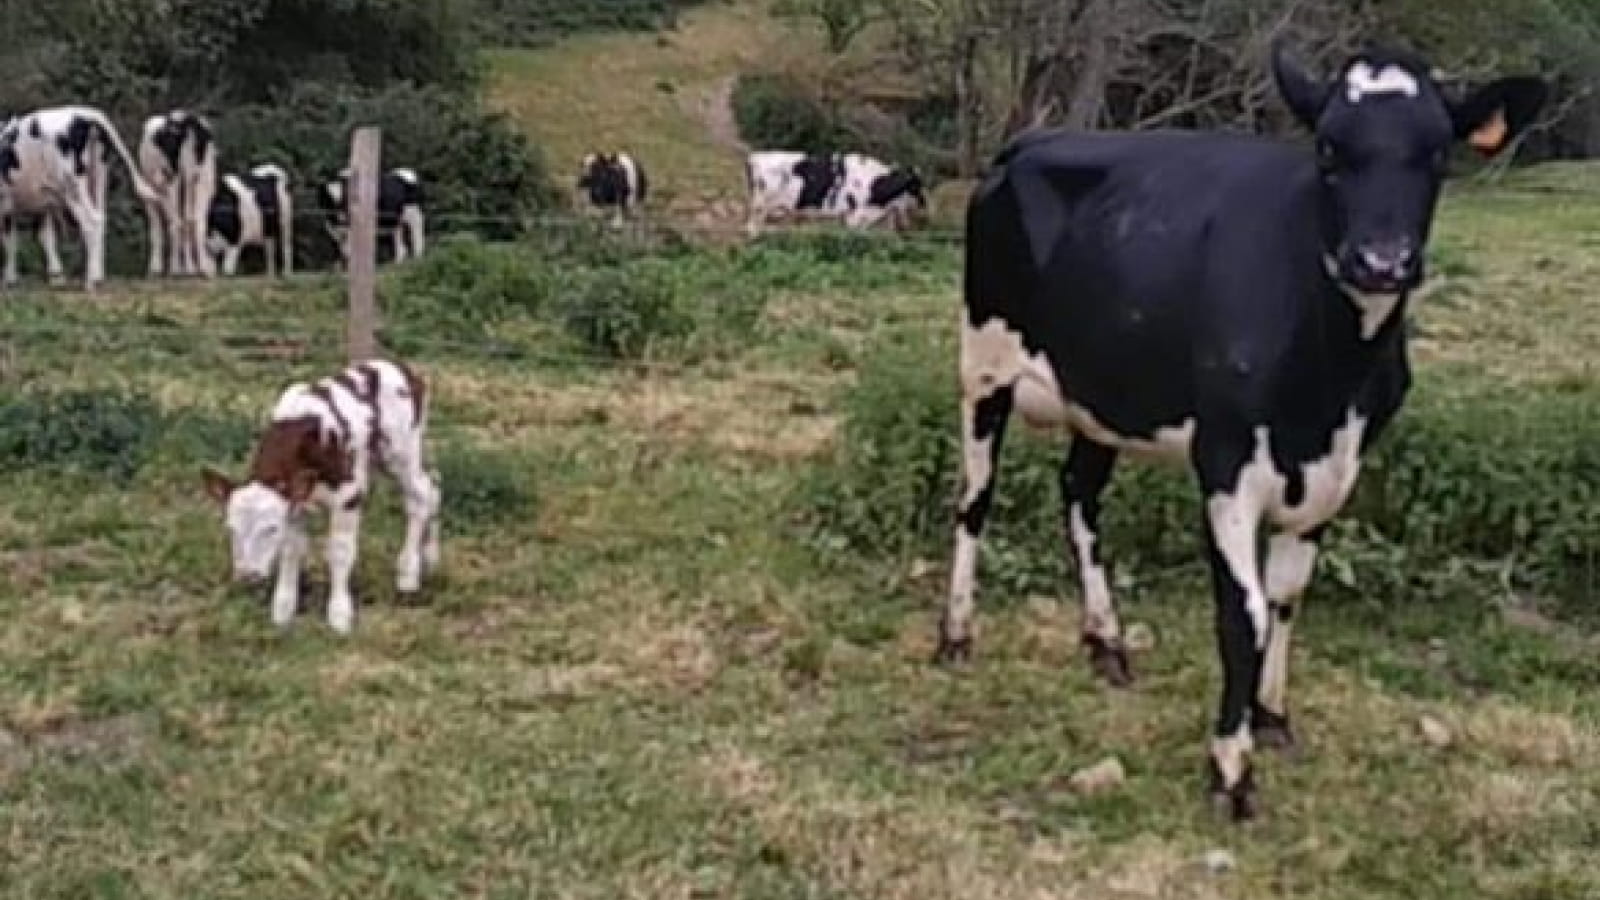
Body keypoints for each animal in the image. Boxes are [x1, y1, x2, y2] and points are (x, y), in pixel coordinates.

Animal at [0, 105, 164, 288]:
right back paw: (98, 276)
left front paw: (10, 280)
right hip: (98, 178)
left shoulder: (8, 204)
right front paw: (56, 277)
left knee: (91, 221)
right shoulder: (43, 203)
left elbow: (10, 242)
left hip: (72, 185)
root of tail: (84, 114)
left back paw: (91, 280)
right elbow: (44, 238)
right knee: (101, 219)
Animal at [138, 110, 217, 277]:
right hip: (201, 179)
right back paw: (200, 268)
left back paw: (177, 268)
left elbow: (161, 227)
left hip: (175, 181)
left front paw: (161, 267)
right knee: (194, 220)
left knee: (177, 222)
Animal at [204, 355, 451, 630]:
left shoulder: (349, 494)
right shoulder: (295, 503)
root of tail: (402, 368)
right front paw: (283, 612)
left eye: (271, 528)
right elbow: (292, 551)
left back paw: (408, 576)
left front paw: (339, 616)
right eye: (230, 529)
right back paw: (430, 559)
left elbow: (340, 552)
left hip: (401, 451)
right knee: (434, 483)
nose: (248, 576)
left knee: (420, 497)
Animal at [745, 148, 934, 237]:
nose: (925, 206)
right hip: (759, 207)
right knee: (751, 230)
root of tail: (755, 157)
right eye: (916, 186)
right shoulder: (856, 217)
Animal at [934, 43, 1542, 819]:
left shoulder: (1336, 467)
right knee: (974, 501)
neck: (1329, 383)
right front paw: (1230, 765)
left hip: (1103, 392)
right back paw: (957, 633)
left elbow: (1286, 598)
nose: (1380, 261)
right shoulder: (1225, 462)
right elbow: (1242, 614)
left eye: (1437, 153)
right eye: (1328, 149)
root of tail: (1028, 142)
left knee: (1079, 494)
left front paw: (1271, 716)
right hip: (983, 362)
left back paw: (1105, 639)